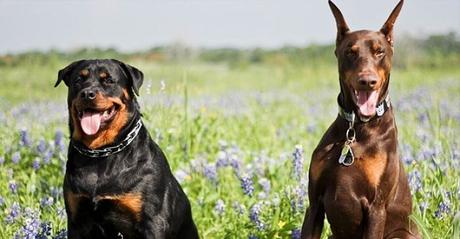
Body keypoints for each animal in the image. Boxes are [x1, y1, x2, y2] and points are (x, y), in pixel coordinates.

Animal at [54, 58, 199, 238]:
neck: (101, 152)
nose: (87, 94)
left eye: (109, 80)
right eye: (79, 80)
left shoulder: (153, 221)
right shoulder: (77, 219)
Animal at [300, 0, 422, 238]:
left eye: (379, 51)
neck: (356, 127)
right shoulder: (315, 204)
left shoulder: (376, 208)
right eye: (350, 52)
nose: (367, 81)